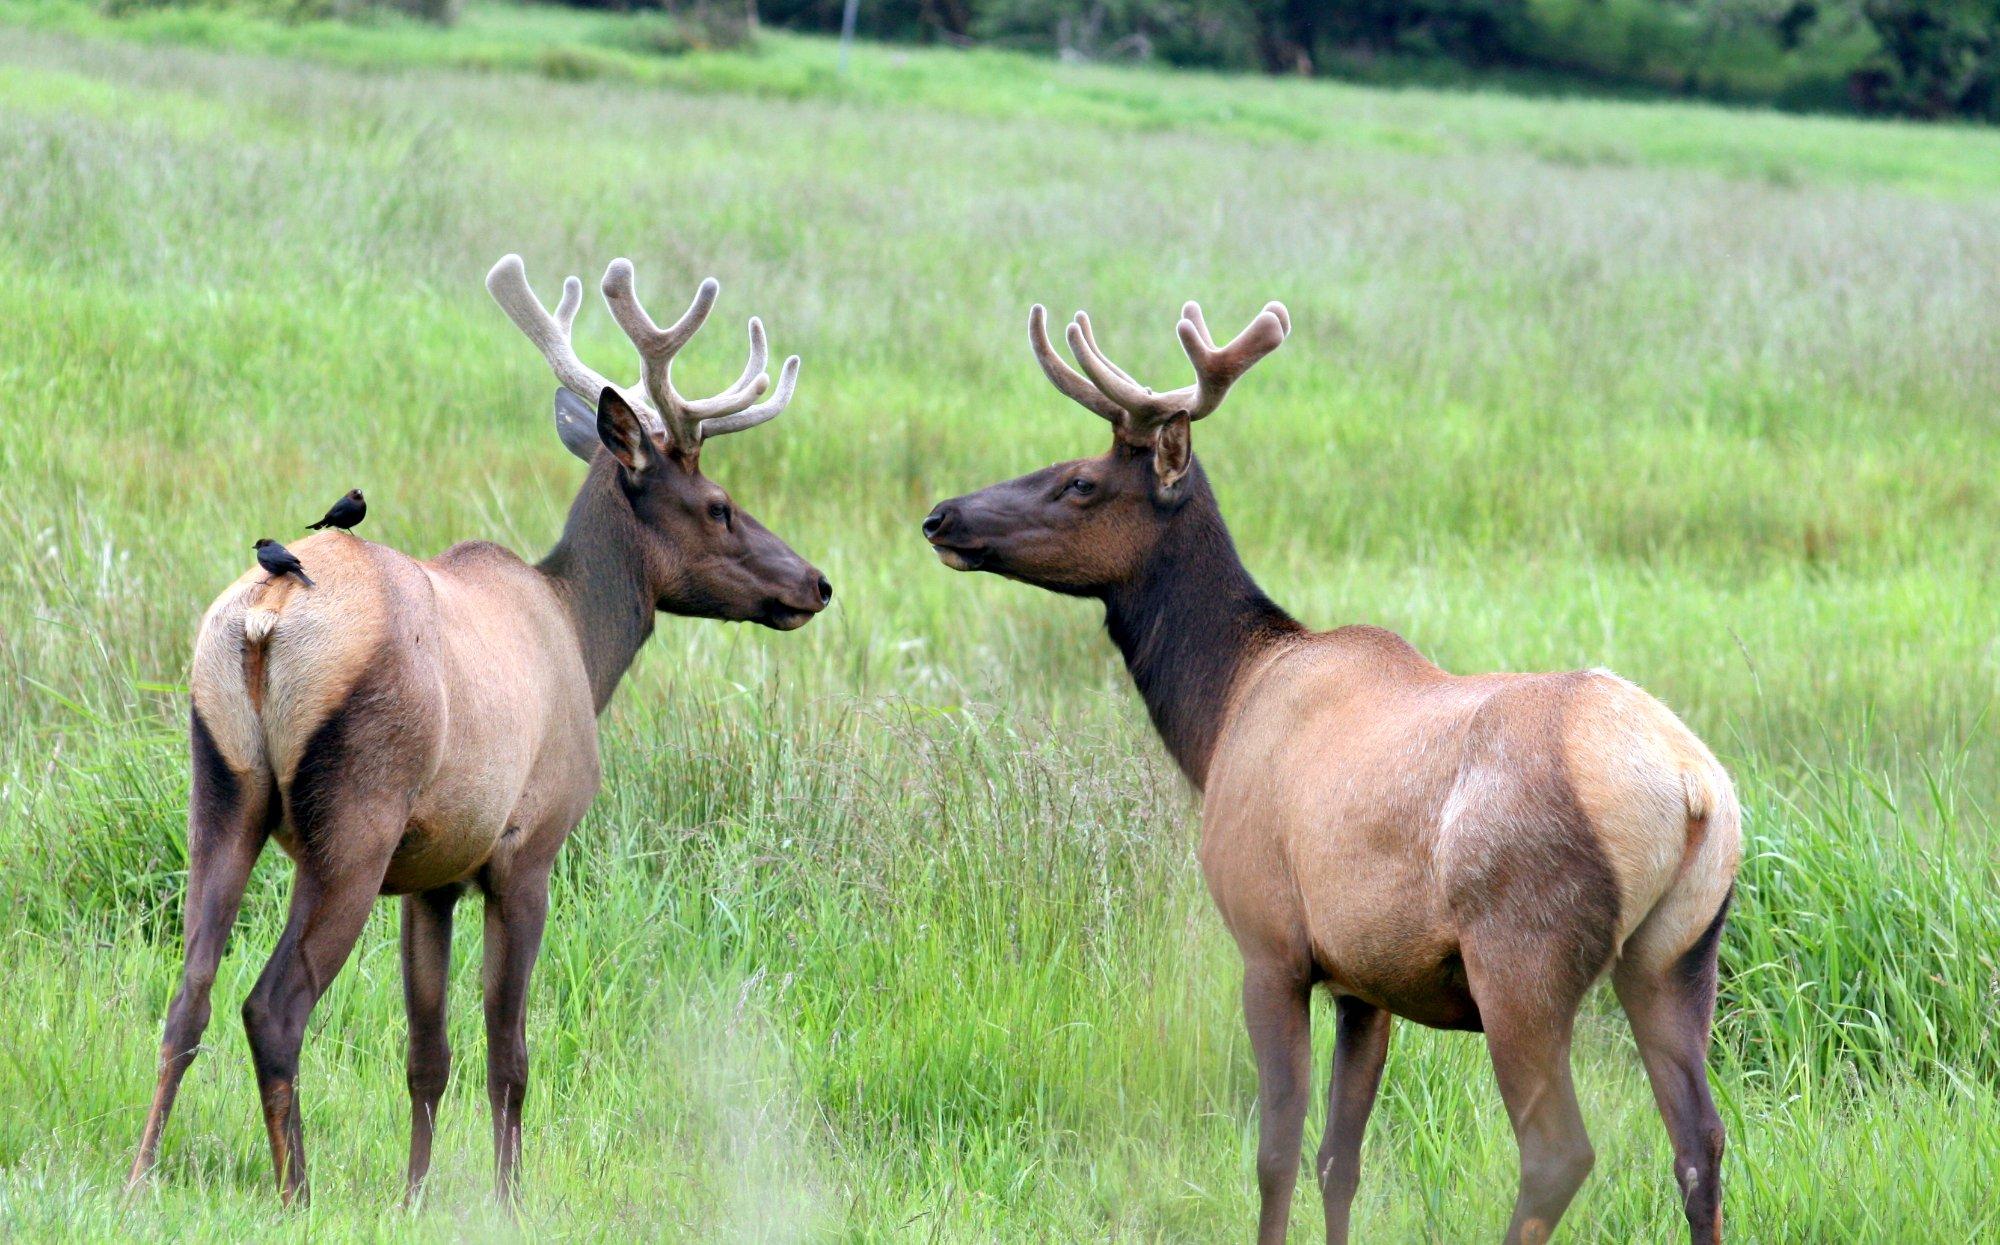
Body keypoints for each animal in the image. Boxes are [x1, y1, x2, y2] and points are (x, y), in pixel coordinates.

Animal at [128, 255, 833, 1207]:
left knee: (188, 992)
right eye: (720, 504)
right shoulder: (525, 851)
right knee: (272, 1004)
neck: (584, 642)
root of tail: (266, 617)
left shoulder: (431, 876)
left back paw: (140, 1173)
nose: (815, 582)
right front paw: (506, 1197)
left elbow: (427, 1053)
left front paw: (415, 1193)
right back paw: (296, 1191)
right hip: (355, 817)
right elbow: (510, 1053)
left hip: (222, 782)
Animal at [922, 301, 1741, 1244]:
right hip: (1677, 953)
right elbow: (1337, 1160)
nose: (942, 515)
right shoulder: (1366, 980)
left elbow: (1275, 1152)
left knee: (1558, 1151)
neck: (1221, 712)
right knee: (1700, 1141)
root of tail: (1693, 790)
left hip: (1522, 955)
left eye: (1081, 482)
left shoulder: (1269, 942)